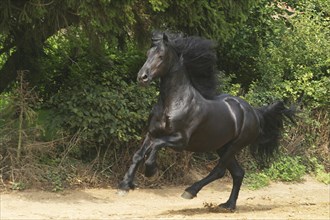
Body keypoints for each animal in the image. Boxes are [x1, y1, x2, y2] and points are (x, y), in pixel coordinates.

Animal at [118, 31, 294, 210]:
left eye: (161, 55)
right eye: (148, 54)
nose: (142, 77)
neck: (173, 103)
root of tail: (254, 112)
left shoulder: (180, 140)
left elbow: (156, 145)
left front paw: (150, 171)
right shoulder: (152, 133)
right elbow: (138, 154)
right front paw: (125, 186)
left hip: (235, 146)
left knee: (219, 171)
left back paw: (190, 191)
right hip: (223, 146)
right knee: (238, 173)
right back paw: (228, 205)